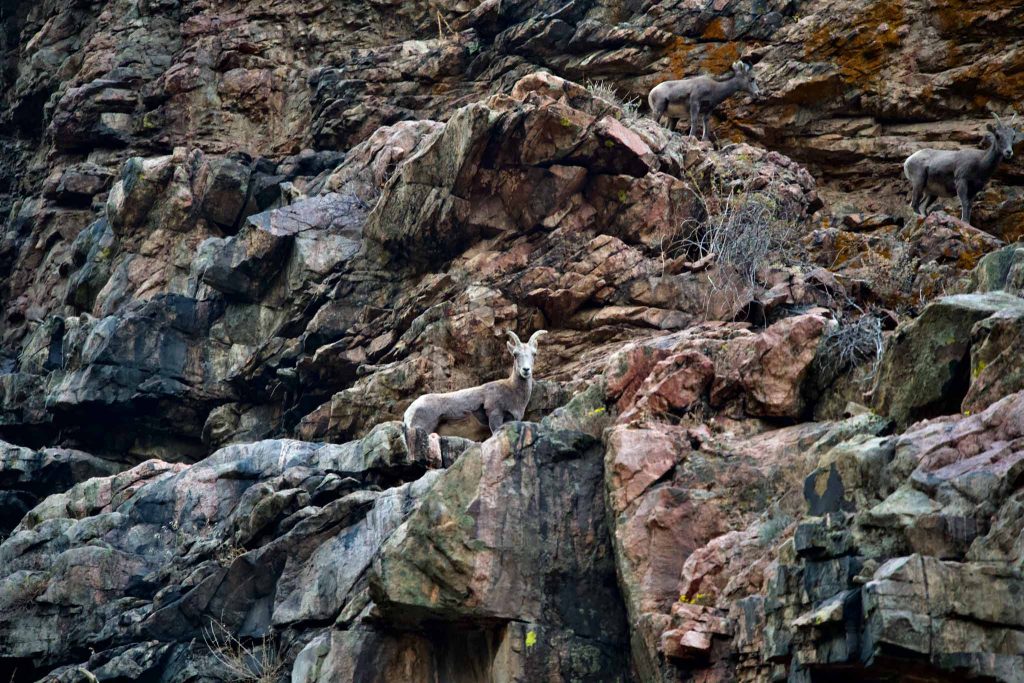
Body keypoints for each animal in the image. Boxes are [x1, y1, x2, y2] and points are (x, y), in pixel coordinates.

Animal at [403, 330, 548, 445]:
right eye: (515, 354)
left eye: (534, 354)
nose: (526, 370)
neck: (512, 390)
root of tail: (409, 412)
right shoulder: (495, 414)